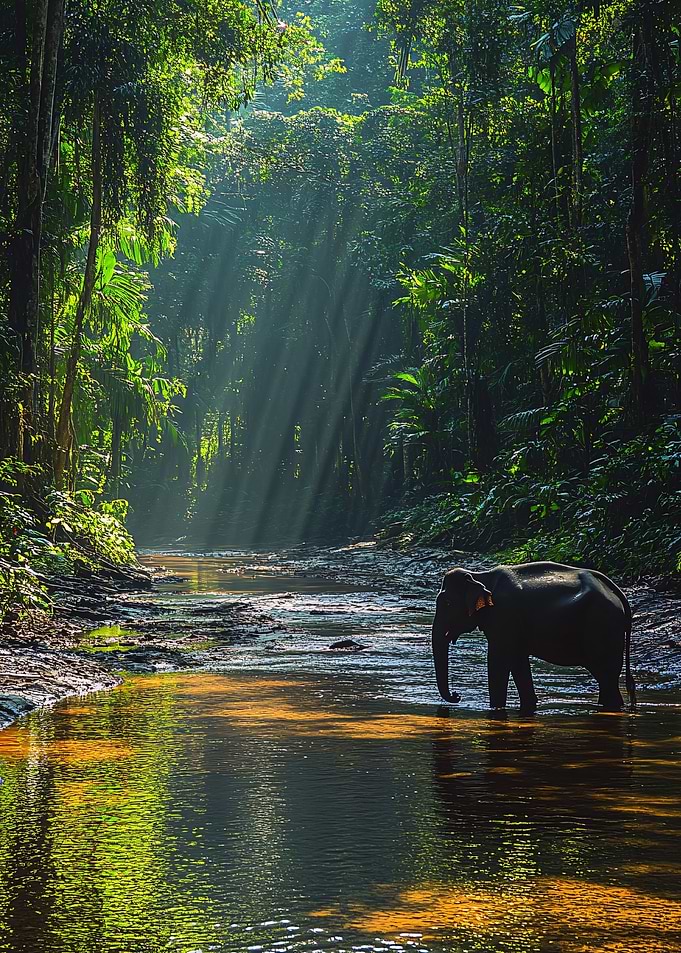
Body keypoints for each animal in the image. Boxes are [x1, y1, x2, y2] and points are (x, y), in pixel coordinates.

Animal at [431, 562, 636, 713]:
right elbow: (518, 662)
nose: (457, 695)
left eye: (447, 603)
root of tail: (618, 594)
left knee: (606, 676)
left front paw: (496, 709)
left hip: (603, 626)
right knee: (606, 679)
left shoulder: (504, 616)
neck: (481, 576)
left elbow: (498, 662)